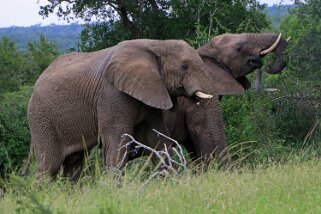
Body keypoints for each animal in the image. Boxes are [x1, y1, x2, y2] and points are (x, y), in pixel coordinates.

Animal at [20, 38, 225, 181]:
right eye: (184, 66)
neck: (156, 44)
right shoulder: (112, 94)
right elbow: (118, 139)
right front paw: (114, 190)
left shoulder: (150, 91)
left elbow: (157, 138)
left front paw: (173, 182)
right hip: (41, 119)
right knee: (49, 165)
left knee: (74, 162)